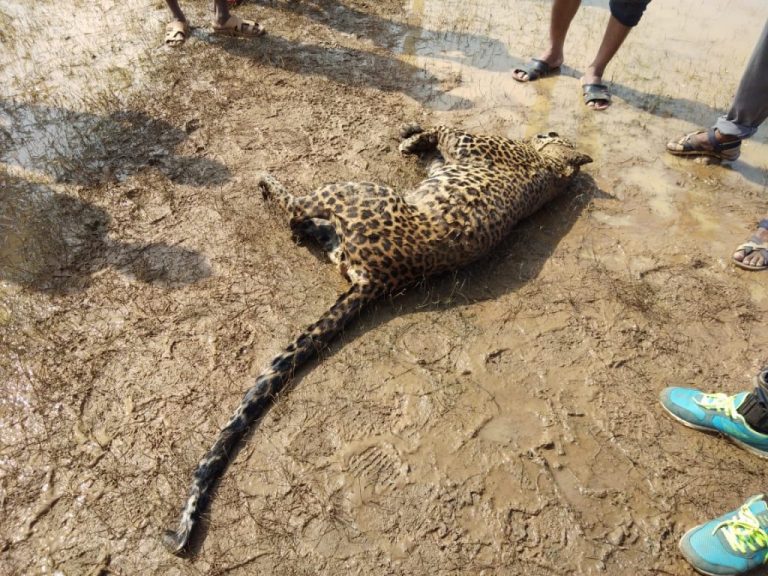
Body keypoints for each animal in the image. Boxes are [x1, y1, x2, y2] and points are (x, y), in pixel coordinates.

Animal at [162, 125, 592, 554]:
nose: (545, 131)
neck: (552, 168)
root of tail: (378, 282)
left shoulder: (463, 142)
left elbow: (439, 129)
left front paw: (410, 136)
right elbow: (431, 144)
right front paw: (411, 140)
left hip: (351, 189)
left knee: (296, 208)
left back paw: (268, 182)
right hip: (342, 231)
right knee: (306, 224)